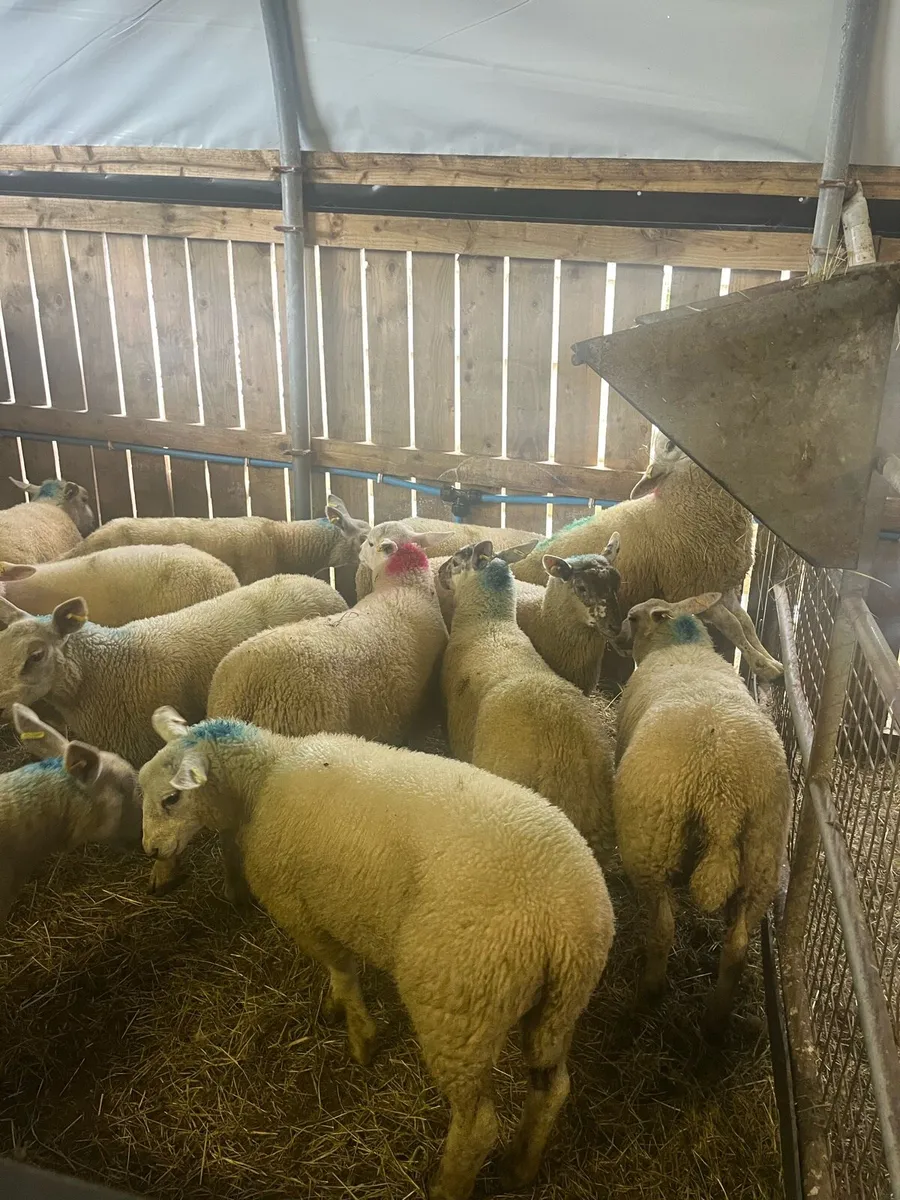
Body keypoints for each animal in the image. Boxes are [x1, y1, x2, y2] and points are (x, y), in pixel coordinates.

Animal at [140, 705, 614, 1200]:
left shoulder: (302, 910)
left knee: (479, 1124)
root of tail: (561, 920)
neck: (265, 778)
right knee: (551, 1087)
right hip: (559, 1006)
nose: (150, 850)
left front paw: (361, 1037)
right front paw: (336, 1009)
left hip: (459, 1009)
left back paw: (447, 1185)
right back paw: (520, 1167)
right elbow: (339, 972)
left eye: (171, 799)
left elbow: (343, 971)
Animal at [509, 430, 783, 681]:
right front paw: (762, 665)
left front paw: (770, 659)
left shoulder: (722, 586)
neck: (678, 509)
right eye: (670, 446)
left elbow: (746, 623)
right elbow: (734, 627)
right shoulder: (692, 588)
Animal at [613, 592, 790, 1035]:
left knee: (663, 929)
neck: (679, 644)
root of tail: (720, 792)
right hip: (762, 858)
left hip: (651, 843)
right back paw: (715, 1021)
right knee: (737, 945)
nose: (617, 637)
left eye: (632, 617)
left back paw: (649, 994)